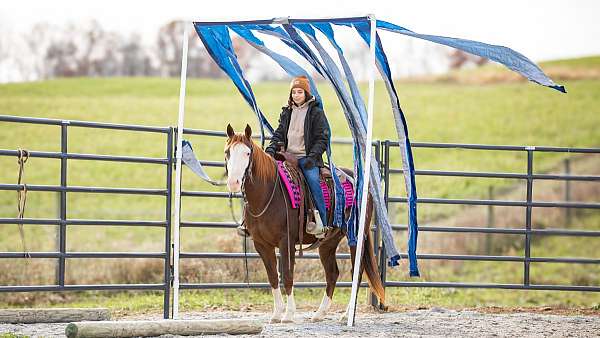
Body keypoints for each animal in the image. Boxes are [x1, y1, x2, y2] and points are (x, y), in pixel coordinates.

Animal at [225, 123, 384, 322]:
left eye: (247, 153)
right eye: (227, 152)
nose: (233, 182)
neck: (267, 194)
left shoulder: (286, 242)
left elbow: (287, 275)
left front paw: (288, 314)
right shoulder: (261, 244)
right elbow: (273, 277)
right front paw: (277, 314)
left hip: (355, 236)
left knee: (357, 271)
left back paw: (346, 315)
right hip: (329, 242)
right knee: (332, 273)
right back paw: (320, 313)